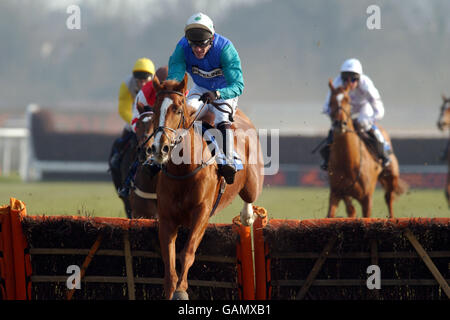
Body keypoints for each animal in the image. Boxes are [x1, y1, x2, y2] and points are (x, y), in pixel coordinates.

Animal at [148, 75, 266, 300]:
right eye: (154, 109)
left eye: (178, 110)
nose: (160, 148)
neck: (183, 170)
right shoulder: (166, 217)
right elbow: (169, 260)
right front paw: (172, 288)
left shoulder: (201, 214)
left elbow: (187, 252)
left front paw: (181, 291)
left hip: (252, 183)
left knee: (250, 197)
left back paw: (247, 216)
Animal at [326, 80, 408, 219]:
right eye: (331, 101)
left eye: (348, 100)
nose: (339, 124)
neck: (349, 162)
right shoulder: (336, 192)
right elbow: (334, 214)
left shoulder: (366, 198)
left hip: (391, 177)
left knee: (389, 198)